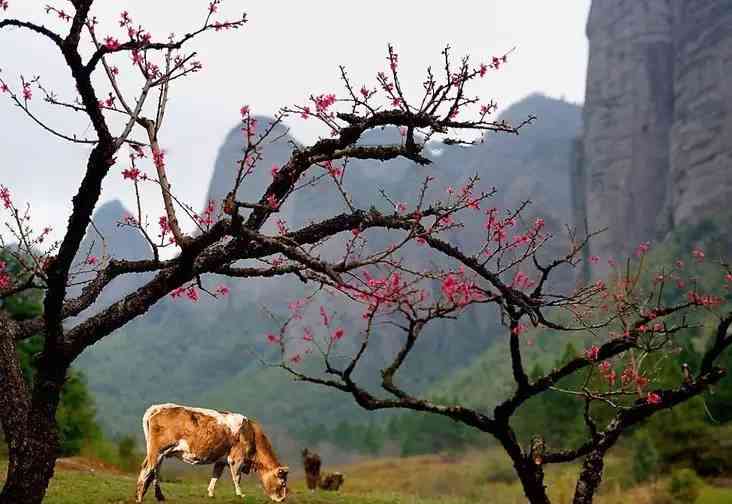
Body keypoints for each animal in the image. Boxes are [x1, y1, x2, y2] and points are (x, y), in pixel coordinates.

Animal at [135, 404, 288, 502]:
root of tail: (157, 407)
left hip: (159, 453)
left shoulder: (221, 461)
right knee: (147, 468)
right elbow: (236, 477)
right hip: (158, 450)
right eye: (283, 483)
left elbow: (215, 477)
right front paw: (240, 494)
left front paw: (210, 493)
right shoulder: (236, 458)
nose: (282, 499)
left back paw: (158, 496)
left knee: (154, 470)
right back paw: (139, 496)